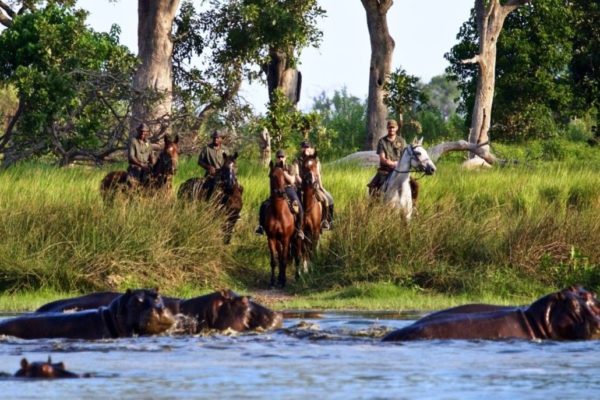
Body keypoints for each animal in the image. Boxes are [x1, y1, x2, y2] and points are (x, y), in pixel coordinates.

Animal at [264, 160, 298, 288]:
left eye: (284, 176)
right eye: (272, 176)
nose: (280, 192)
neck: (278, 213)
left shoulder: (286, 238)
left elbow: (283, 260)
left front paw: (283, 281)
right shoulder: (271, 238)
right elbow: (274, 261)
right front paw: (273, 281)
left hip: (294, 239)